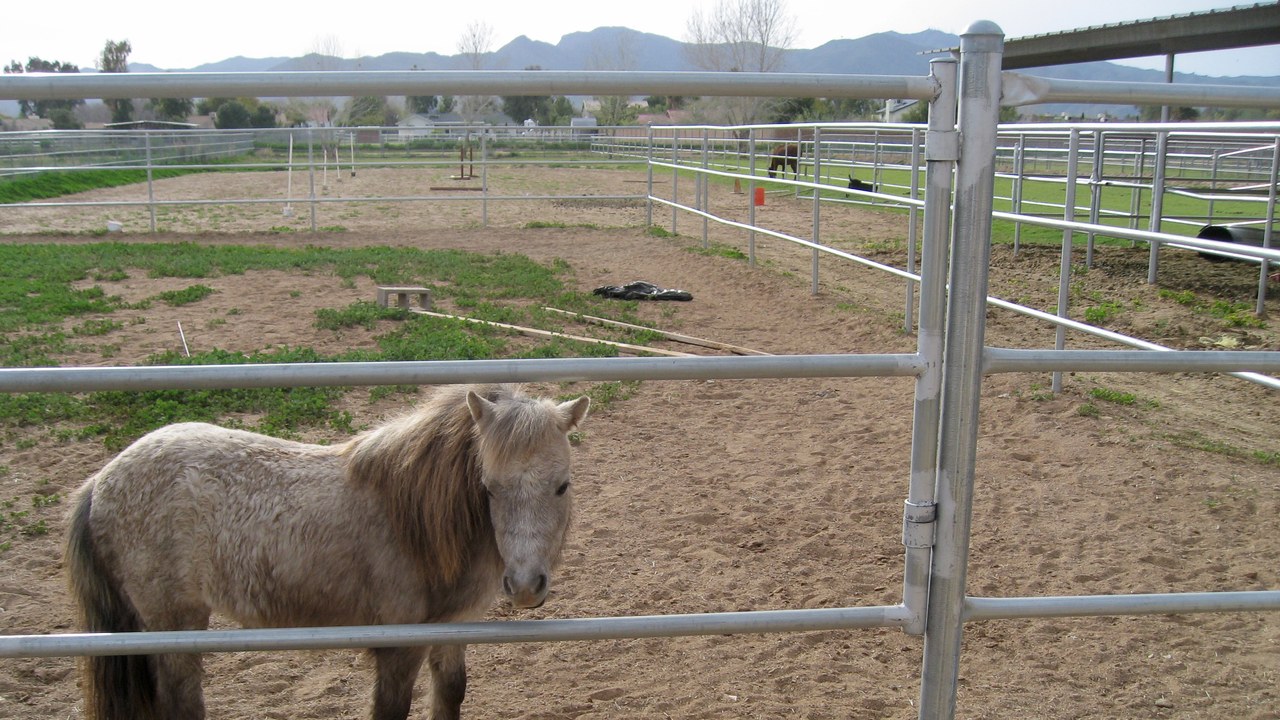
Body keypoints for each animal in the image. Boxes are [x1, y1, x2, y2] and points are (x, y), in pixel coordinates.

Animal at [65, 383, 590, 720]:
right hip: (175, 623)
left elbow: (450, 697)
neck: (411, 517)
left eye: (562, 486)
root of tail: (101, 480)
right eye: (489, 487)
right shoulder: (400, 646)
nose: (525, 585)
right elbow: (390, 710)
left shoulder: (454, 629)